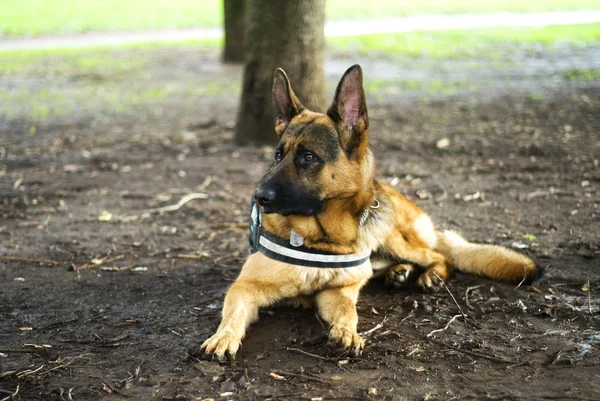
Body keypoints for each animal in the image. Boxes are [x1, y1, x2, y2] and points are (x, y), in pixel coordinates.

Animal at [200, 64, 536, 358]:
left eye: (308, 157)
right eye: (278, 155)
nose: (259, 197)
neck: (322, 239)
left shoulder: (339, 290)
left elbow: (349, 311)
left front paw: (348, 332)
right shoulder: (244, 288)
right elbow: (233, 315)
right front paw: (223, 338)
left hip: (392, 236)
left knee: (439, 256)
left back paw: (428, 275)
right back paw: (399, 272)